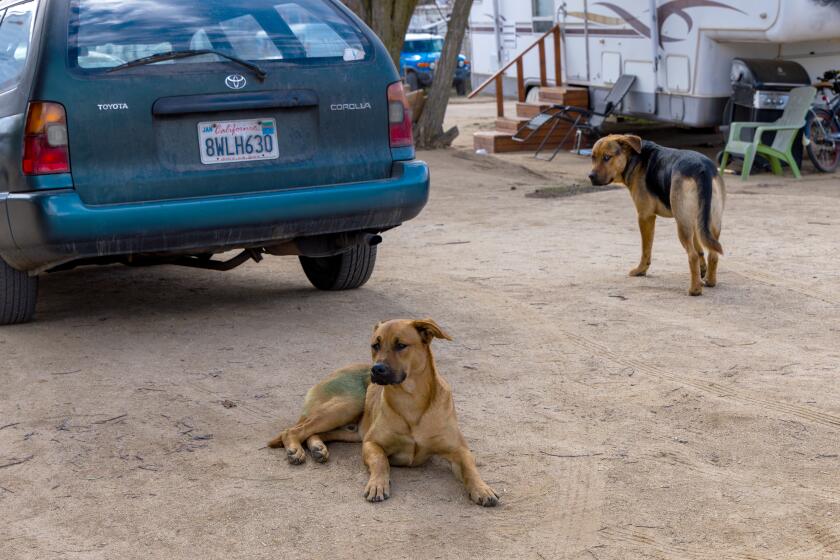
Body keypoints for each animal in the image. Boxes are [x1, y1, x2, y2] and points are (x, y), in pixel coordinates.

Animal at [266, 320, 498, 508]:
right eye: (375, 345)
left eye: (401, 345)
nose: (376, 369)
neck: (411, 401)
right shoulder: (371, 443)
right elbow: (381, 461)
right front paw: (378, 484)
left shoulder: (459, 449)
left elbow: (470, 468)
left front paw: (482, 488)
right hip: (345, 407)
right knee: (293, 430)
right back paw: (295, 450)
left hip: (350, 430)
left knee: (314, 432)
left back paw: (317, 448)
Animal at [588, 133, 724, 296]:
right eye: (593, 157)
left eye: (607, 157)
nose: (590, 176)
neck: (634, 159)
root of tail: (702, 168)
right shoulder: (695, 222)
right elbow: (700, 248)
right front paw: (702, 271)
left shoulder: (645, 216)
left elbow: (646, 249)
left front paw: (641, 270)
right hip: (710, 223)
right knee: (712, 253)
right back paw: (710, 281)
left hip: (682, 224)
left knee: (692, 256)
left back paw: (695, 290)